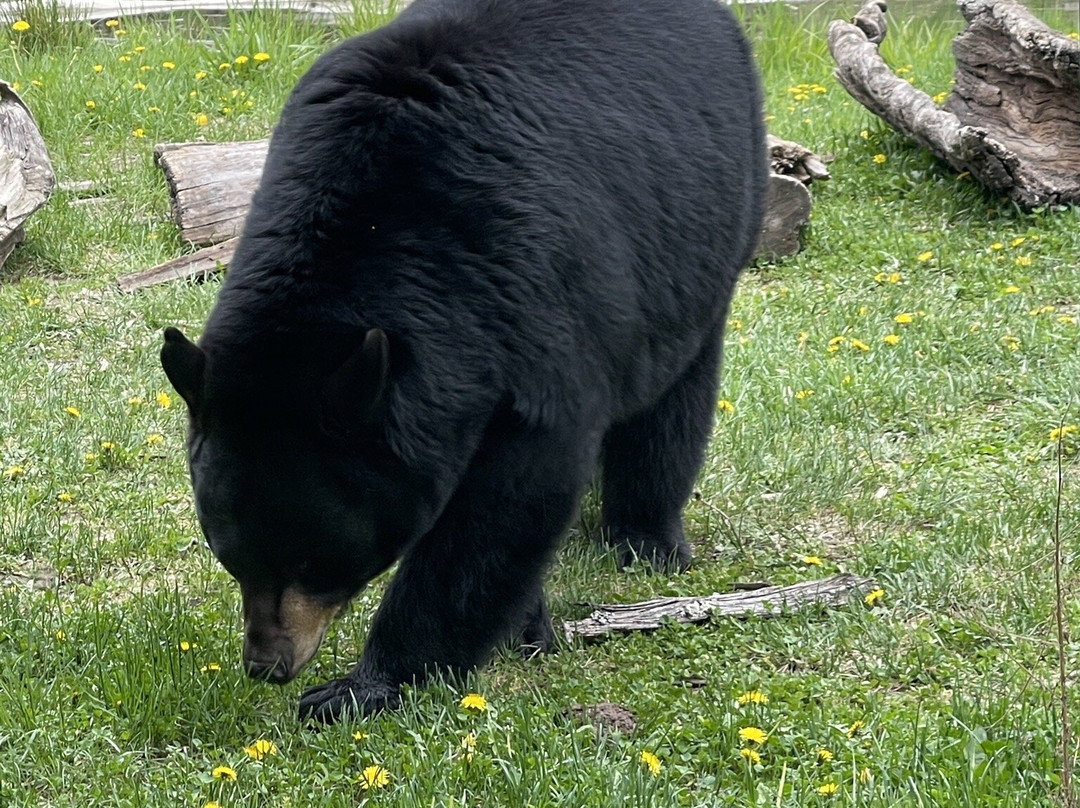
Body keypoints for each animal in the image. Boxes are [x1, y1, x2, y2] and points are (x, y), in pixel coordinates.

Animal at [160, 0, 766, 723]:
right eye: (231, 554)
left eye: (315, 561)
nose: (268, 664)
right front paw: (528, 625)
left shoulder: (526, 293)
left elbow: (503, 507)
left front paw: (362, 685)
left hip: (706, 230)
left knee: (672, 402)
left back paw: (646, 539)